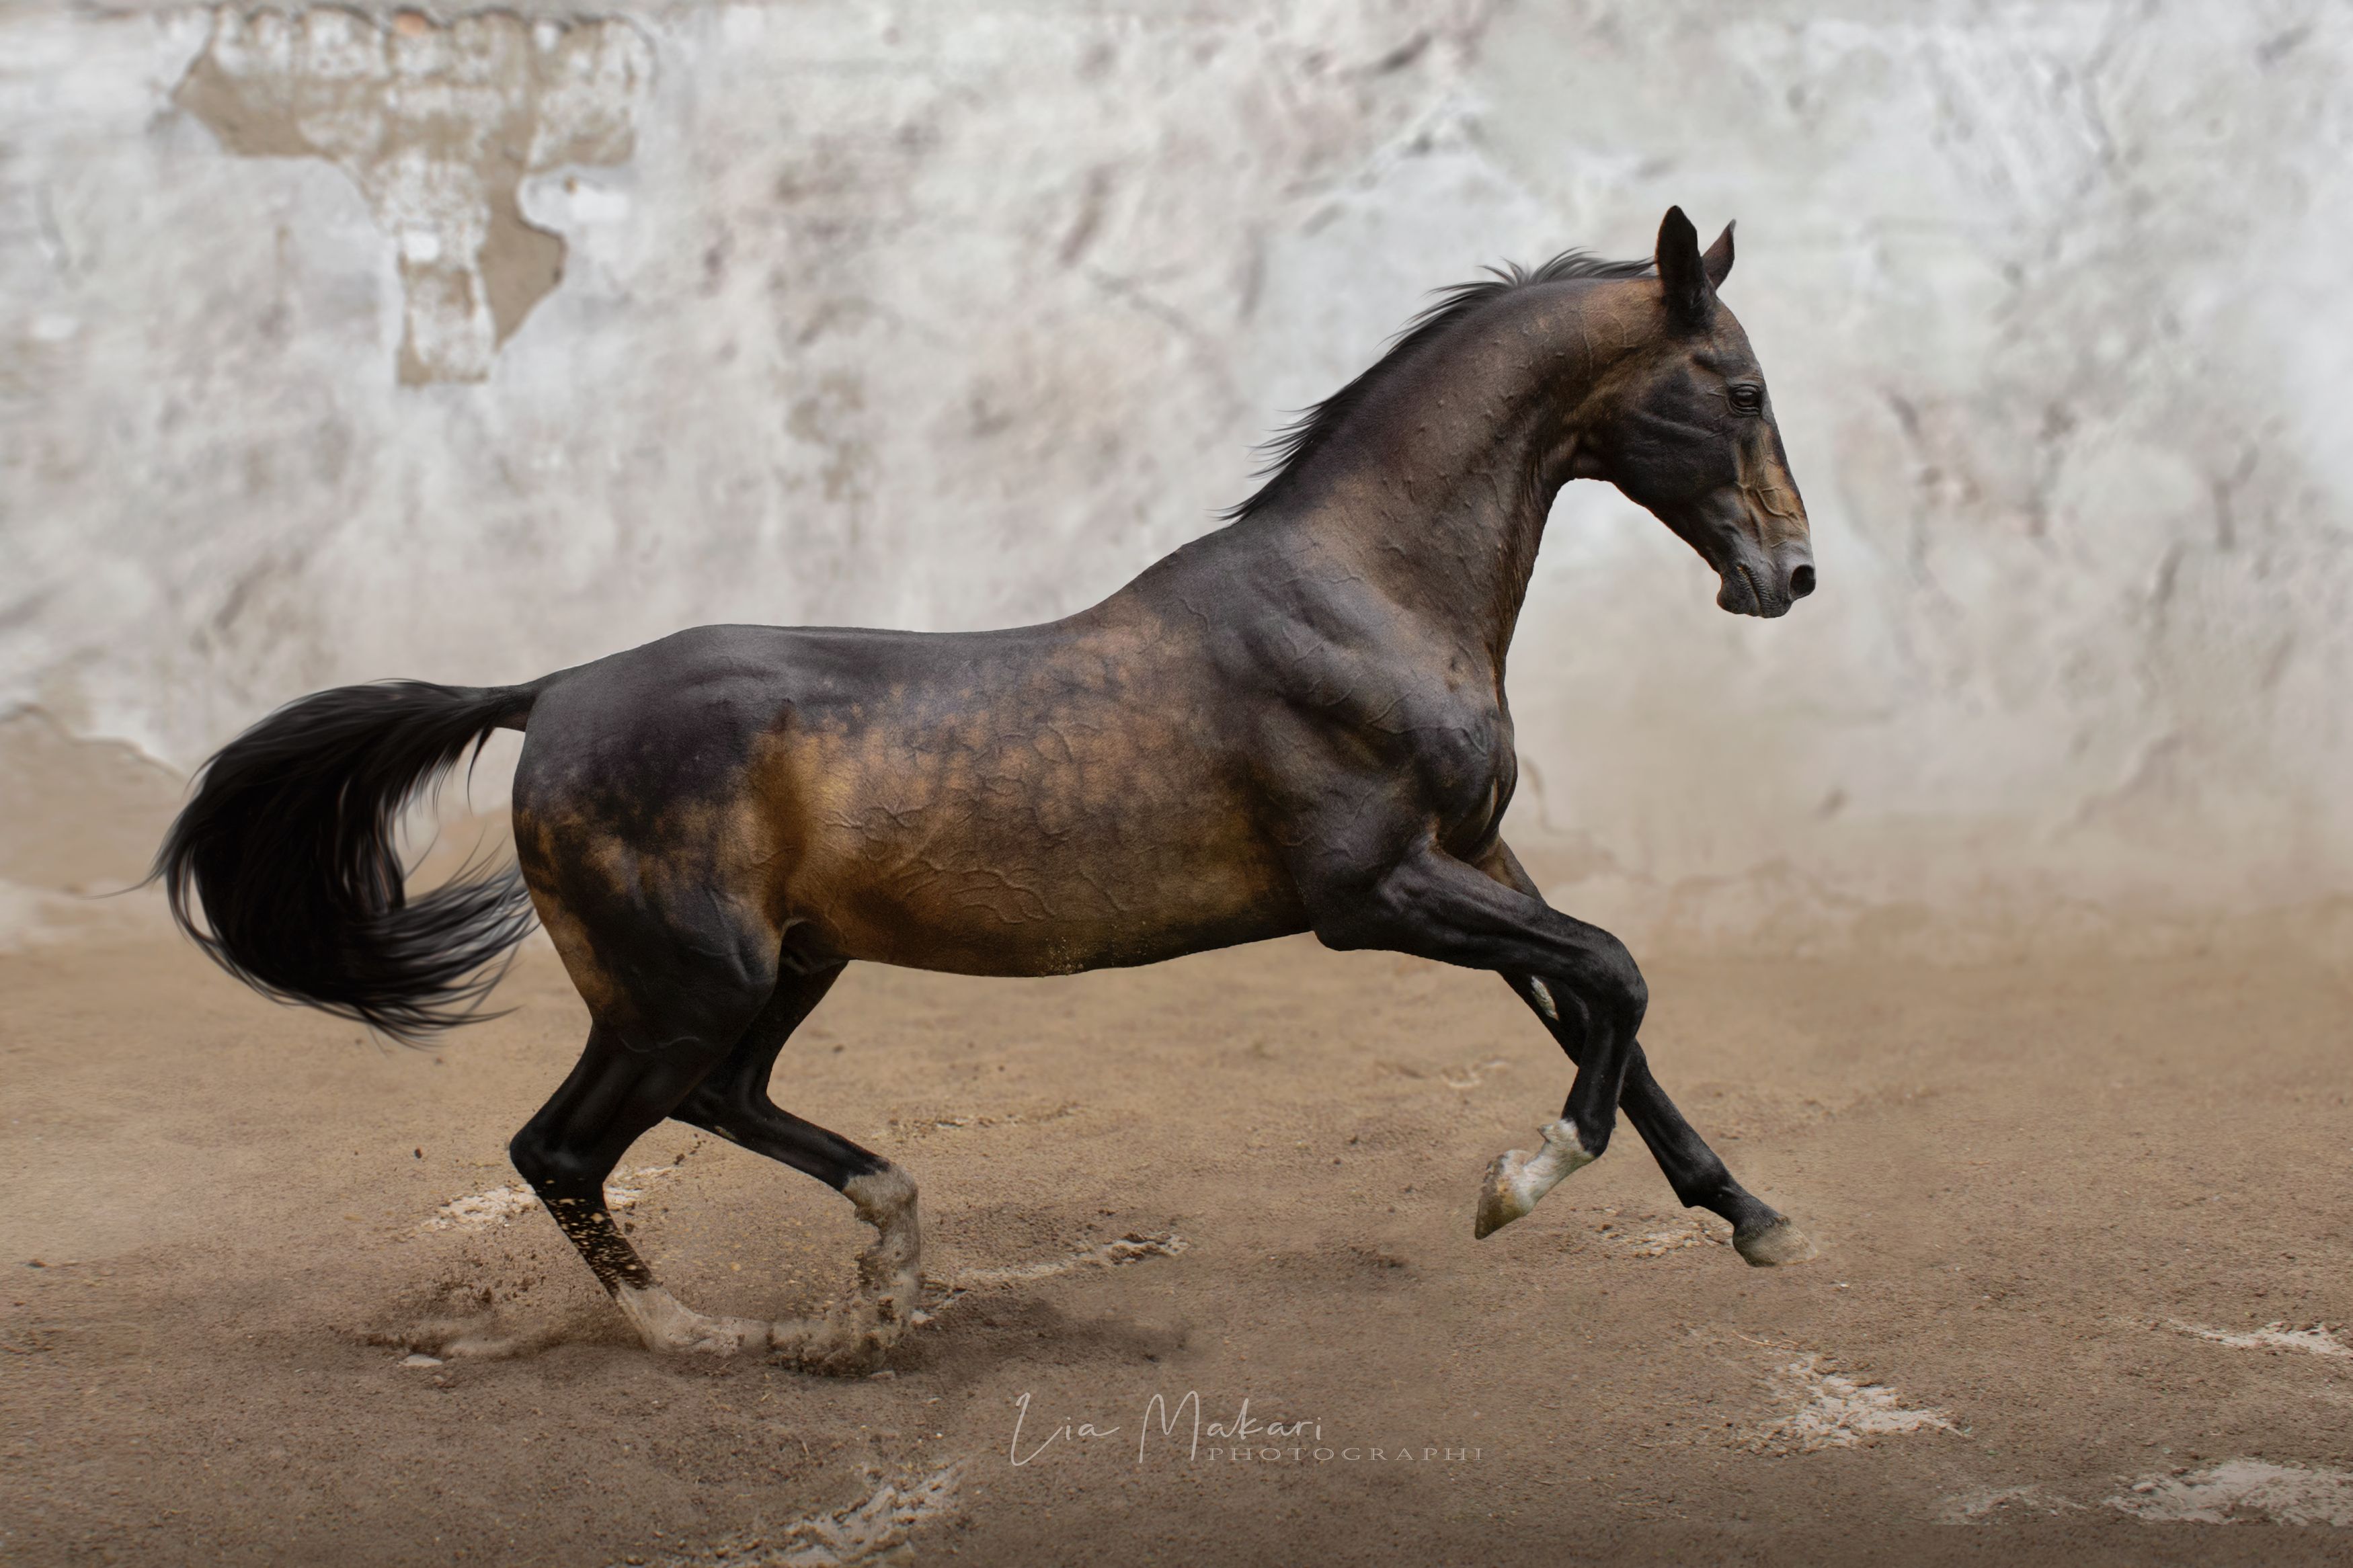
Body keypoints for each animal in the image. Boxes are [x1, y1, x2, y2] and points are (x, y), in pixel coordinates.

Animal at [157, 206, 1818, 1369]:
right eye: (1737, 387)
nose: (1791, 577)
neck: (1365, 595)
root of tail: (549, 692)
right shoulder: (1376, 891)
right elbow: (1614, 972)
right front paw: (1518, 1180)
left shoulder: (1477, 856)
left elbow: (1604, 1001)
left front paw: (1752, 1219)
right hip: (685, 982)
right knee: (565, 1146)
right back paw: (732, 1335)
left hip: (781, 966)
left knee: (719, 1101)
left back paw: (890, 1256)